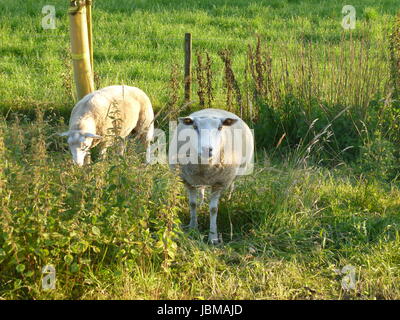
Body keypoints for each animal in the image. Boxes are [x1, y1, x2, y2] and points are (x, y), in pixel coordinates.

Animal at [169, 109, 253, 244]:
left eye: (220, 127)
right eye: (195, 127)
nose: (206, 150)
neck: (205, 167)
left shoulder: (219, 183)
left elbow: (214, 209)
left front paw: (213, 237)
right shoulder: (188, 181)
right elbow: (192, 204)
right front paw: (193, 227)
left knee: (232, 185)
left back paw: (229, 199)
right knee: (201, 189)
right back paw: (202, 201)